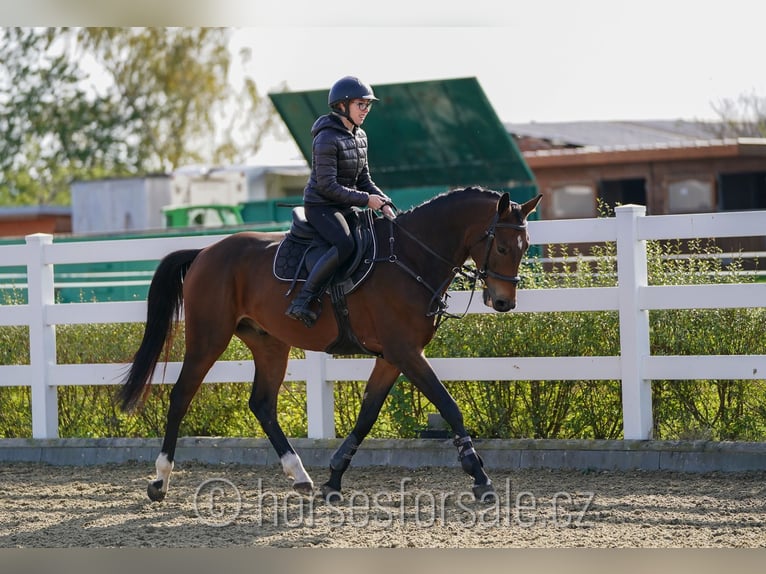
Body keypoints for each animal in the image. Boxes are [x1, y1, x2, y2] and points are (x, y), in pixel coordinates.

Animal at [120, 188, 544, 504]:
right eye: (502, 247)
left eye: (524, 246)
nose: (504, 302)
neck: (411, 257)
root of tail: (205, 252)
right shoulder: (406, 352)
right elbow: (448, 405)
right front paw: (480, 475)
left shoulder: (392, 358)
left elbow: (367, 415)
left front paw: (334, 478)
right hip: (209, 338)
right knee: (181, 395)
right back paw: (160, 481)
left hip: (269, 343)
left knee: (262, 404)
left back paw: (299, 475)